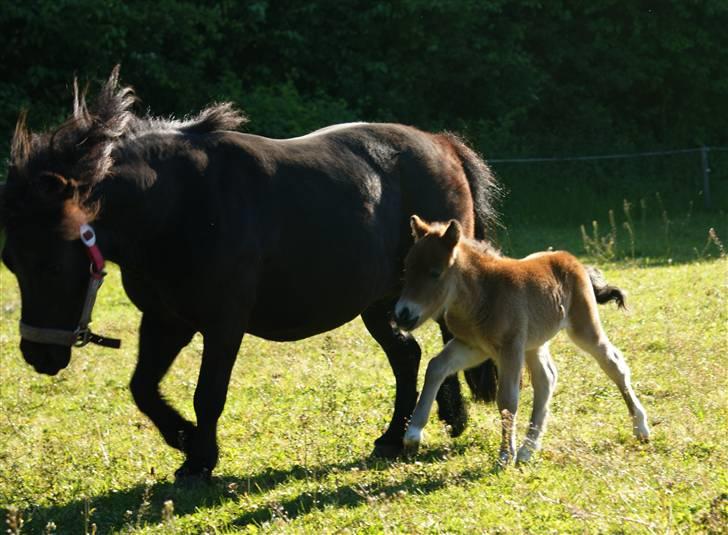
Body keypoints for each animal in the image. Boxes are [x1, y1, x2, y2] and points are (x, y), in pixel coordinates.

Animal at [0, 68, 500, 482]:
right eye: (11, 262)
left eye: (51, 263)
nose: (38, 354)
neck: (178, 206)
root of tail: (442, 144)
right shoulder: (165, 321)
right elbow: (143, 388)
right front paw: (184, 439)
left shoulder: (223, 324)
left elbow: (208, 394)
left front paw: (200, 459)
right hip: (380, 304)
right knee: (408, 355)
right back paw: (397, 436)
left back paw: (446, 420)